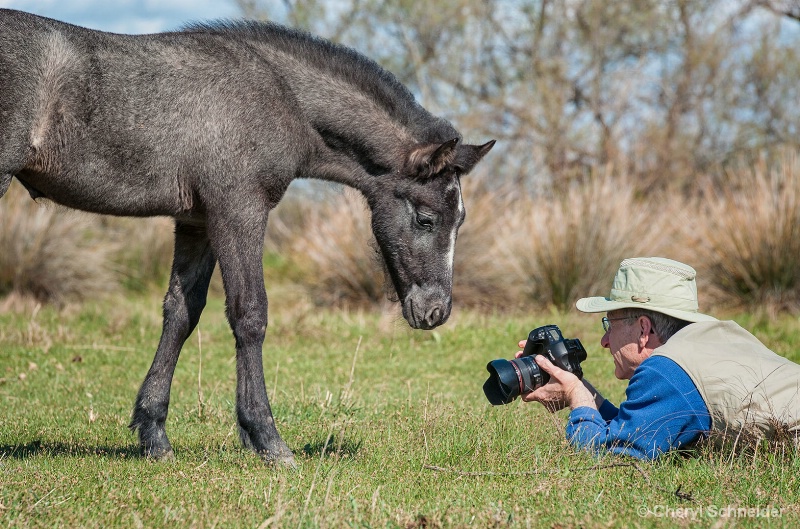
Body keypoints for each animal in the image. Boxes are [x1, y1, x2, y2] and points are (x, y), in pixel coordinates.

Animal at [0, 7, 494, 462]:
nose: (436, 312)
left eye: (460, 220)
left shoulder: (197, 221)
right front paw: (267, 439)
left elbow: (181, 313)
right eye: (426, 219)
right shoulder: (238, 211)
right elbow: (250, 314)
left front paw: (154, 434)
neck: (277, 94)